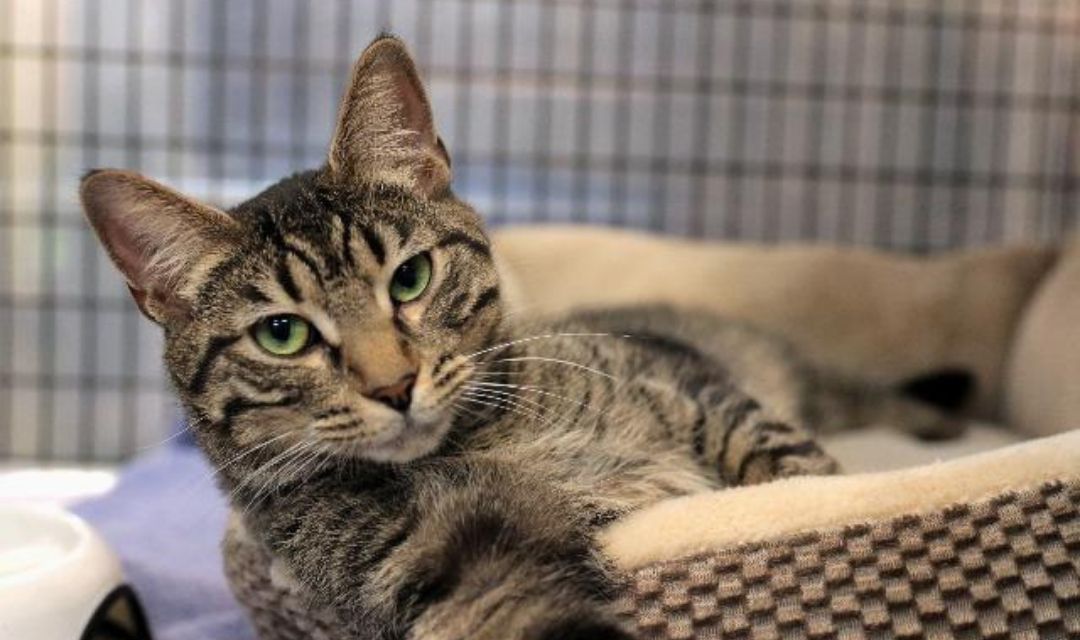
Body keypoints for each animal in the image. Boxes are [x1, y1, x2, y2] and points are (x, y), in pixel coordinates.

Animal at [82, 36, 963, 638]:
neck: (489, 441)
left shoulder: (690, 384)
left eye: (410, 279)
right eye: (282, 333)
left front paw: (814, 485)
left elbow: (787, 464)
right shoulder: (437, 555)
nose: (393, 385)